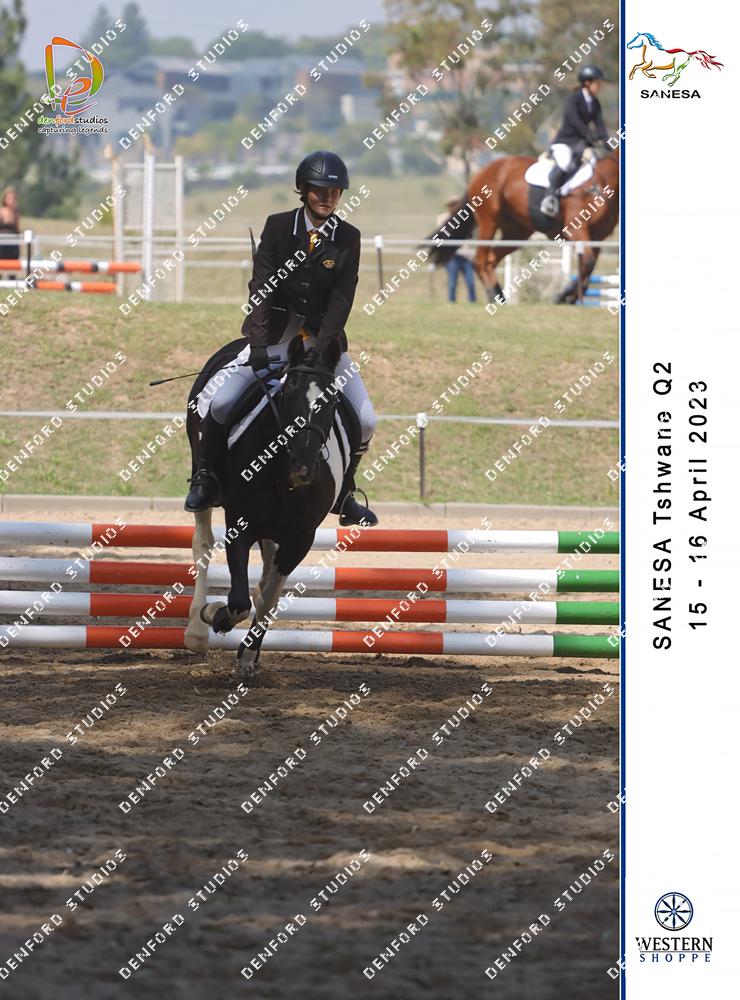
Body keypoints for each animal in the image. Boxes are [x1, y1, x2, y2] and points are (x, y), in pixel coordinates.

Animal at [183, 334, 359, 680]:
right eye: (289, 392)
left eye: (332, 399)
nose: (303, 466)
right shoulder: (240, 525)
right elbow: (239, 600)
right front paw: (215, 614)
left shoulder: (300, 538)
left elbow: (266, 599)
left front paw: (248, 655)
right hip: (202, 470)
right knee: (203, 544)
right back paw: (196, 630)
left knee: (265, 583)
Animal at [429, 151, 619, 305]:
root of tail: (482, 171)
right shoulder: (577, 230)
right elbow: (587, 262)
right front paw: (564, 296)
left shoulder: (597, 238)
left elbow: (588, 267)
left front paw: (569, 296)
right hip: (488, 223)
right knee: (480, 261)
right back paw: (493, 296)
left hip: (516, 233)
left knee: (490, 260)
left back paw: (500, 296)